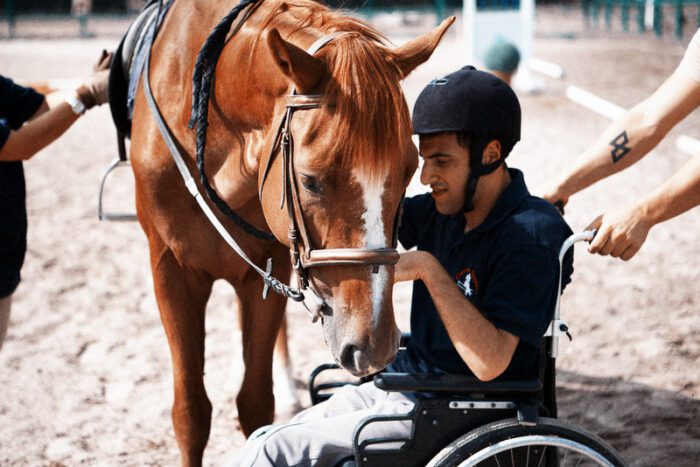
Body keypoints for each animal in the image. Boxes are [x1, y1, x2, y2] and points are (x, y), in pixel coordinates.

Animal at [129, 0, 452, 464]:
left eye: (410, 170)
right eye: (310, 181)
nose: (373, 346)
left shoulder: (271, 267)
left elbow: (255, 402)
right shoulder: (171, 270)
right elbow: (190, 411)